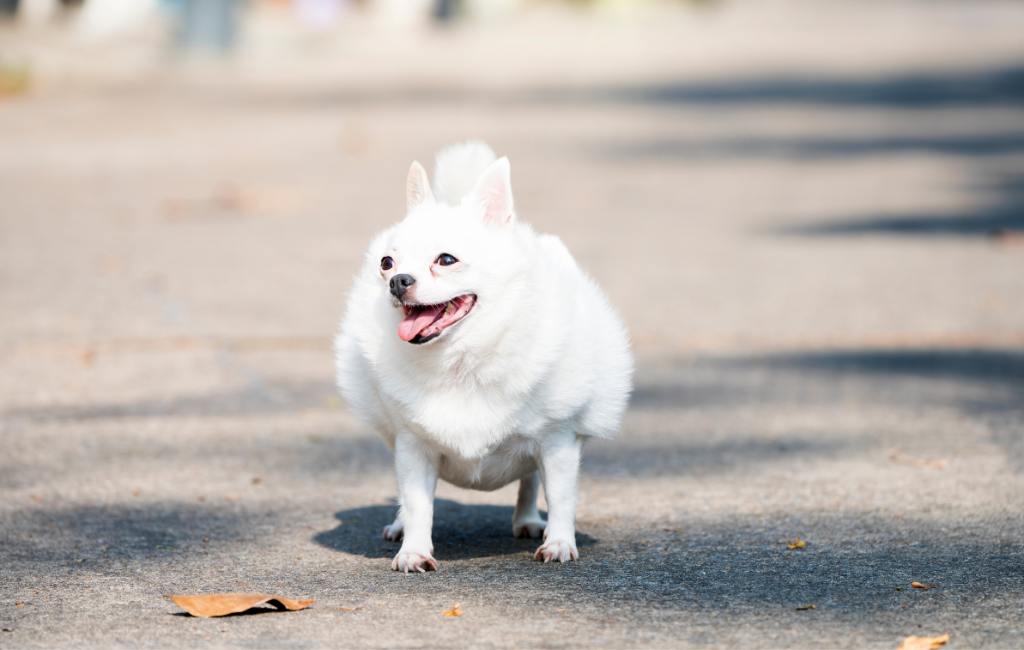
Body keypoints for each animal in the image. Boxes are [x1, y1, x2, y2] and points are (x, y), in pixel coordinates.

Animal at [333, 142, 630, 573]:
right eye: (386, 263)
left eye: (446, 260)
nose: (397, 281)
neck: (460, 359)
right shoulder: (413, 448)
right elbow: (417, 503)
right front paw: (414, 550)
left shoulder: (558, 442)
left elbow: (560, 497)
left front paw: (559, 542)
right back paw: (400, 527)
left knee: (530, 482)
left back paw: (528, 522)